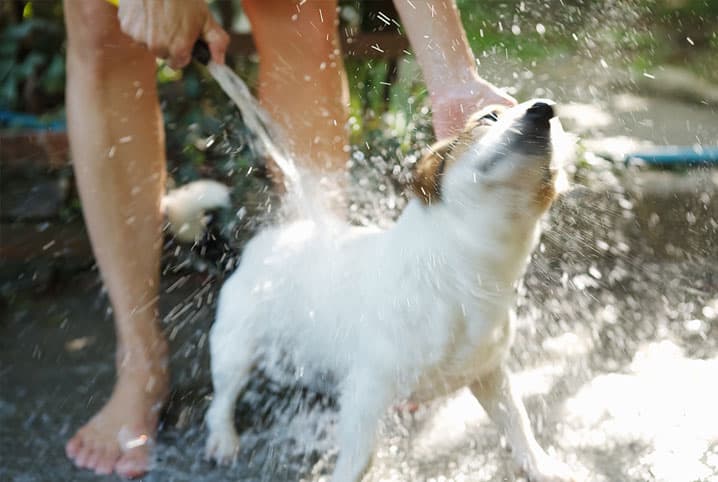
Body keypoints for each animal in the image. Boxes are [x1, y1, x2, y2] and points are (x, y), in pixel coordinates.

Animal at [201, 100, 572, 480]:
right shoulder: (367, 392)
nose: (544, 109)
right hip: (235, 347)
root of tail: (266, 241)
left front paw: (540, 465)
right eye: (489, 116)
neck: (462, 273)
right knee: (221, 401)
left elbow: (516, 419)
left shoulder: (490, 373)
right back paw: (223, 438)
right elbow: (360, 459)